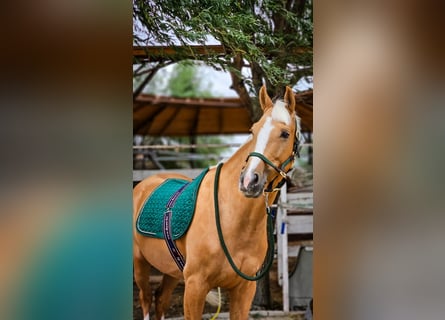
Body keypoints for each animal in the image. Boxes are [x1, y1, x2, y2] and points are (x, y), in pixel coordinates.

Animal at [133, 85, 302, 320]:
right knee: (146, 299)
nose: (249, 180)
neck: (232, 218)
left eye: (285, 134)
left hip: (171, 271)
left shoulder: (244, 289)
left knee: (161, 300)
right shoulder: (195, 286)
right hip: (140, 264)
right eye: (253, 131)